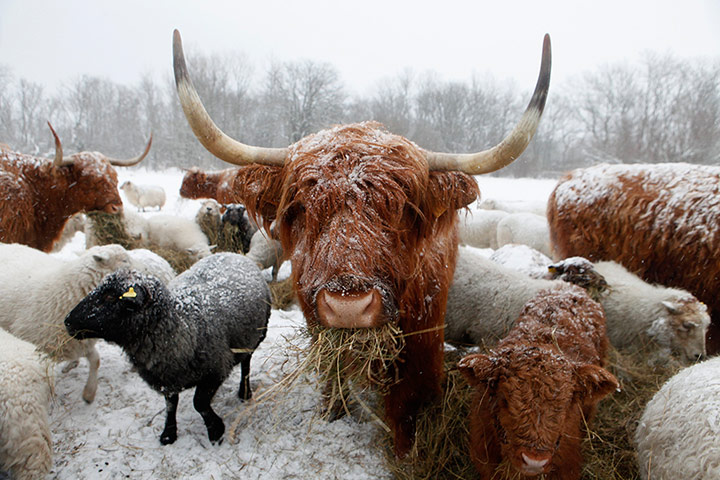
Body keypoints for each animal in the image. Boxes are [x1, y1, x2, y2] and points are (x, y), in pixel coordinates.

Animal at [172, 29, 551, 457]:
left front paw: (406, 449)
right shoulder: (315, 318)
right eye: (303, 207)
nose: (347, 306)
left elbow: (410, 396)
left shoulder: (424, 331)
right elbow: (332, 372)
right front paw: (333, 413)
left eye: (400, 208)